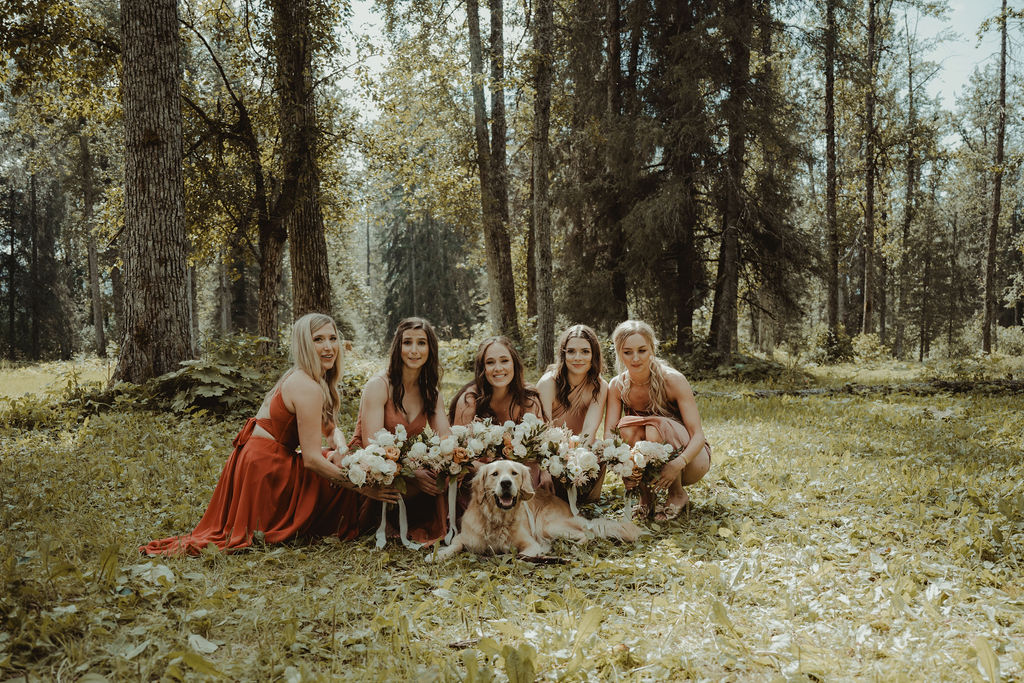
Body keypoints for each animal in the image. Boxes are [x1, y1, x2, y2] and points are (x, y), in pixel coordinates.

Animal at [430, 458, 638, 561]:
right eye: (494, 474)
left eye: (514, 473)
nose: (506, 483)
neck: (498, 520)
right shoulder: (464, 537)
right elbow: (454, 544)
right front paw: (439, 555)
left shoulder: (530, 543)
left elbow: (520, 555)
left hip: (548, 526)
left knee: (588, 534)